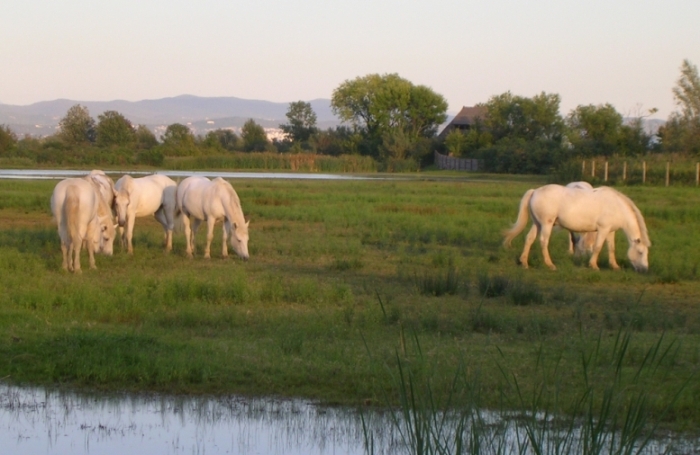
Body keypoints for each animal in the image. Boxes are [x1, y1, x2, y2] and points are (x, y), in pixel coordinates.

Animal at [504, 184, 652, 272]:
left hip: (537, 224)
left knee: (529, 239)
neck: (616, 206)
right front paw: (593, 265)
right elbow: (598, 247)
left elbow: (611, 248)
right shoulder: (603, 229)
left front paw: (614, 266)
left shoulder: (610, 231)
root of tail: (535, 191)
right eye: (640, 252)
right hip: (546, 224)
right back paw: (550, 265)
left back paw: (524, 263)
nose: (645, 269)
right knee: (543, 242)